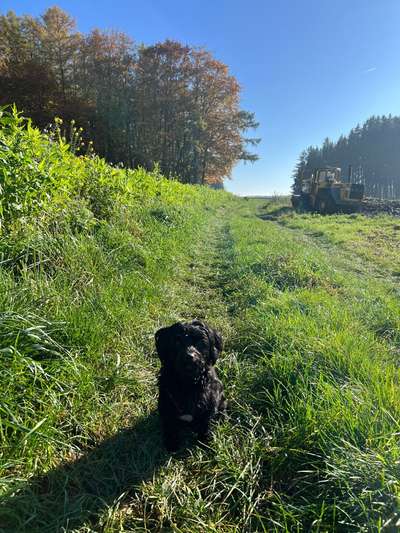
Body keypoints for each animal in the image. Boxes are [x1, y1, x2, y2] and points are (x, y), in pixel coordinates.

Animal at [155, 318, 227, 450]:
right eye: (177, 341)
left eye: (200, 341)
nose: (189, 356)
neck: (188, 383)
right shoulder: (166, 405)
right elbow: (169, 425)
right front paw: (171, 443)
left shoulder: (209, 406)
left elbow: (206, 424)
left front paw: (204, 441)